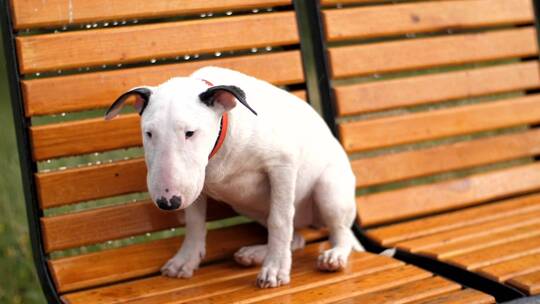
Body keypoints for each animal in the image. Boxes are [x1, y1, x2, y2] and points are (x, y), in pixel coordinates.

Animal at [105, 67, 362, 290]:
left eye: (190, 133)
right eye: (149, 133)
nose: (168, 202)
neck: (224, 139)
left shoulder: (282, 165)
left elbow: (279, 221)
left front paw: (275, 269)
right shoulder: (196, 183)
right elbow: (195, 222)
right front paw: (186, 260)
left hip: (329, 191)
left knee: (339, 232)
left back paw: (334, 256)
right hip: (250, 208)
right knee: (296, 239)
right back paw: (253, 254)